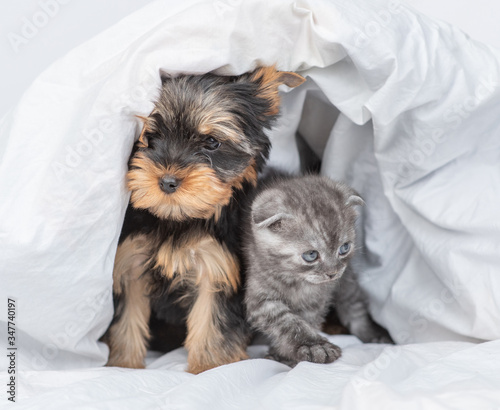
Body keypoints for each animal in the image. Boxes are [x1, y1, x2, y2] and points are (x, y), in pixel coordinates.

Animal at [102, 65, 304, 374]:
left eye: (211, 142)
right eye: (149, 138)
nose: (168, 181)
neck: (176, 219)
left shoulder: (217, 265)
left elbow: (212, 322)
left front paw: (210, 368)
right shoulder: (131, 263)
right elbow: (127, 319)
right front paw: (123, 365)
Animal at [243, 173, 390, 366]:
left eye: (344, 248)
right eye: (311, 255)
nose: (332, 273)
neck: (297, 280)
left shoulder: (317, 300)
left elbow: (308, 320)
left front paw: (285, 355)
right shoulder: (260, 297)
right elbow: (287, 323)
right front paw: (313, 346)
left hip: (347, 280)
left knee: (354, 307)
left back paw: (372, 334)